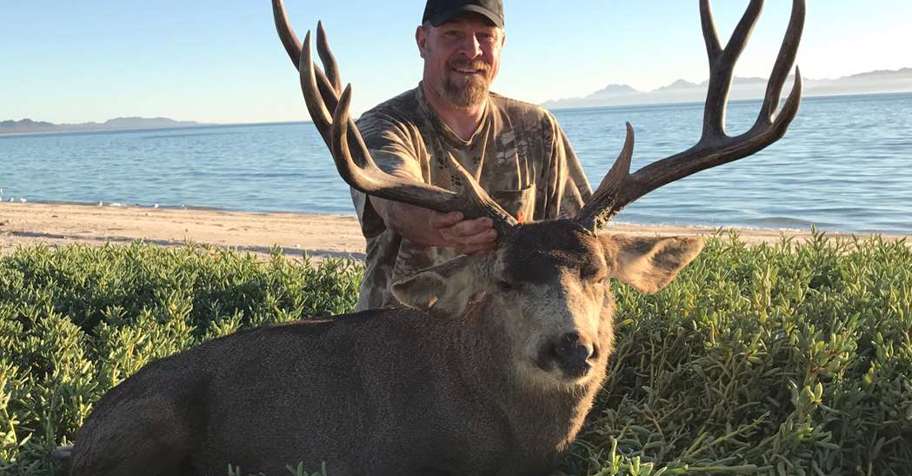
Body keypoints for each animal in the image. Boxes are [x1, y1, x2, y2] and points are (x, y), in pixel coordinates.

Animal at [60, 0, 804, 474]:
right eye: (505, 279)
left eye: (596, 271)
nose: (572, 347)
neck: (513, 442)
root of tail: (85, 428)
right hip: (149, 425)